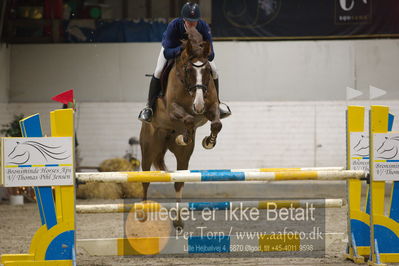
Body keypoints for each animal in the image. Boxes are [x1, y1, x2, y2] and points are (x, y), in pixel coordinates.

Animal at [140, 27, 222, 229]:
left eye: (207, 70)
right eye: (188, 69)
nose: (198, 106)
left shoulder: (212, 108)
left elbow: (216, 123)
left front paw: (208, 142)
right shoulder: (172, 109)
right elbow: (189, 119)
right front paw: (185, 136)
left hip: (183, 156)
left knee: (179, 182)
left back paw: (178, 221)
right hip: (149, 148)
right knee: (145, 179)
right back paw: (143, 215)